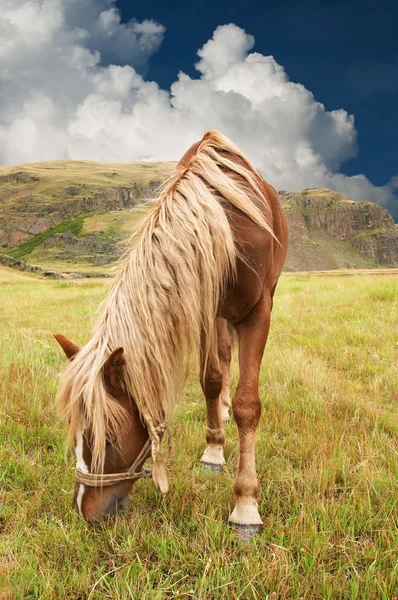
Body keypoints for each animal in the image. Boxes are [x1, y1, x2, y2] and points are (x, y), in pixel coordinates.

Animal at [53, 130, 290, 540]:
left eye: (108, 438)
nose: (86, 510)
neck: (227, 225)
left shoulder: (258, 311)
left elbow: (248, 404)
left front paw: (245, 506)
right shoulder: (203, 309)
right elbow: (211, 380)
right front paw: (214, 450)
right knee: (223, 361)